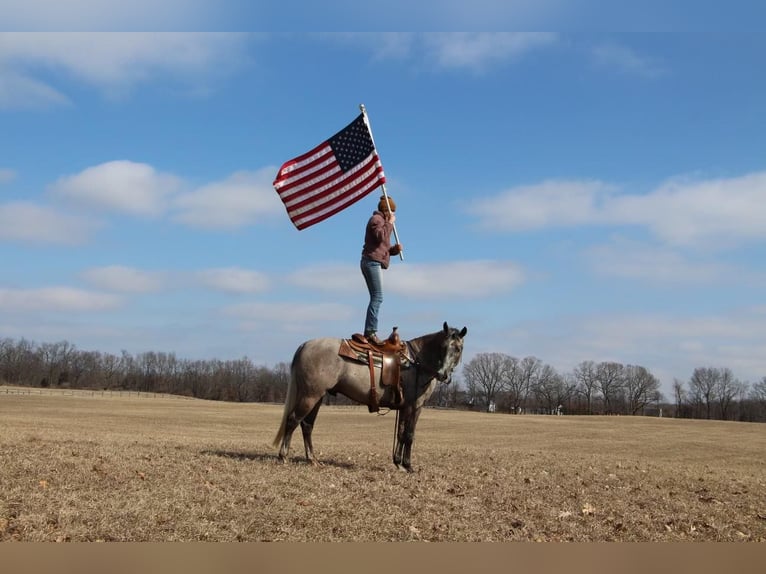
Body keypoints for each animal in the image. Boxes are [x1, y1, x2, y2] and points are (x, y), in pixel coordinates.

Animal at [276, 322, 468, 474]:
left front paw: (398, 463)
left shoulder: (404, 407)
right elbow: (409, 435)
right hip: (311, 395)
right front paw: (408, 466)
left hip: (317, 396)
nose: (443, 374)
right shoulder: (414, 406)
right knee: (293, 420)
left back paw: (312, 459)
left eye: (458, 349)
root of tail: (305, 345)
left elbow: (400, 433)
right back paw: (283, 456)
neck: (417, 362)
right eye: (443, 347)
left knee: (307, 425)